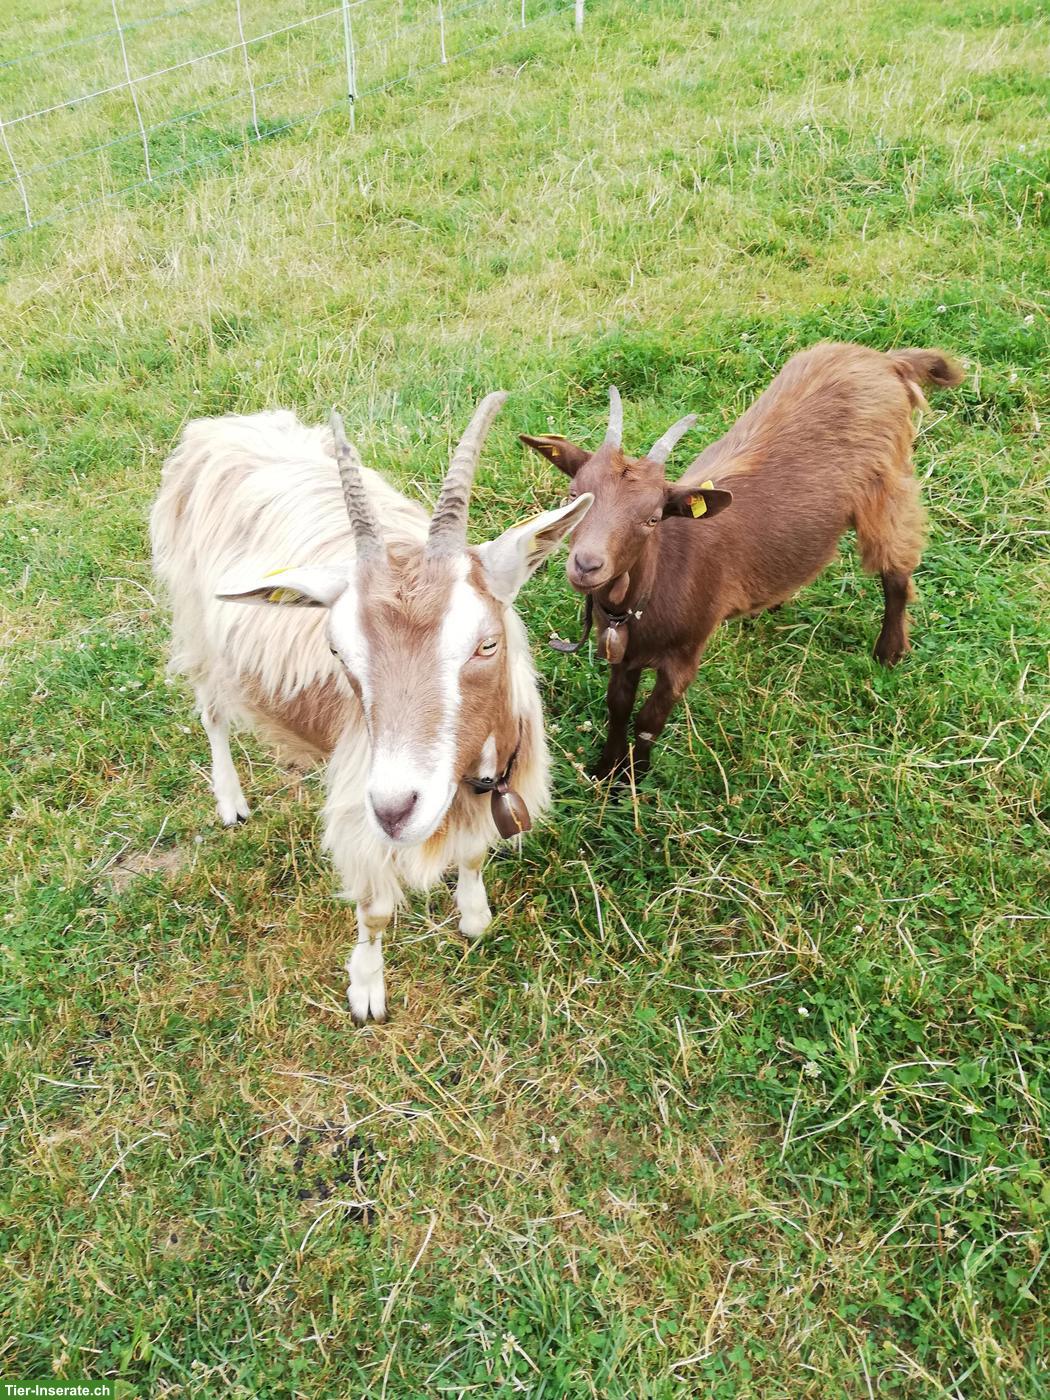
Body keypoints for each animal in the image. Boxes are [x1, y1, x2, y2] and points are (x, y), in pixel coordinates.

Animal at [150, 393, 593, 1022]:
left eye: (487, 644)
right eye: (338, 652)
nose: (394, 809)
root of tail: (216, 429)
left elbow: (473, 856)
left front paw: (474, 916)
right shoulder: (362, 819)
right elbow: (375, 909)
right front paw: (365, 991)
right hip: (196, 624)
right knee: (211, 711)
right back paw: (231, 801)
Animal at [521, 342, 962, 780]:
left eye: (652, 518)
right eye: (574, 495)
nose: (587, 565)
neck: (652, 588)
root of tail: (886, 359)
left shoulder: (685, 655)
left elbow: (649, 720)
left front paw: (637, 775)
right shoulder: (621, 653)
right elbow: (617, 707)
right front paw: (606, 771)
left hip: (887, 483)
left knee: (897, 567)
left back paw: (890, 651)